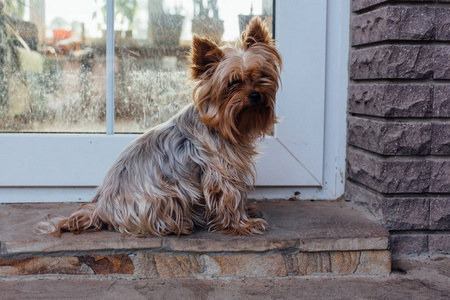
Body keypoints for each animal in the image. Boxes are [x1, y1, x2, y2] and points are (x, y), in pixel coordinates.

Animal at [37, 17, 282, 237]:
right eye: (232, 83)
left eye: (262, 75)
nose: (255, 95)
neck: (222, 123)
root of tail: (102, 208)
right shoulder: (222, 170)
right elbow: (230, 198)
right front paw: (243, 224)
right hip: (168, 194)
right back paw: (181, 226)